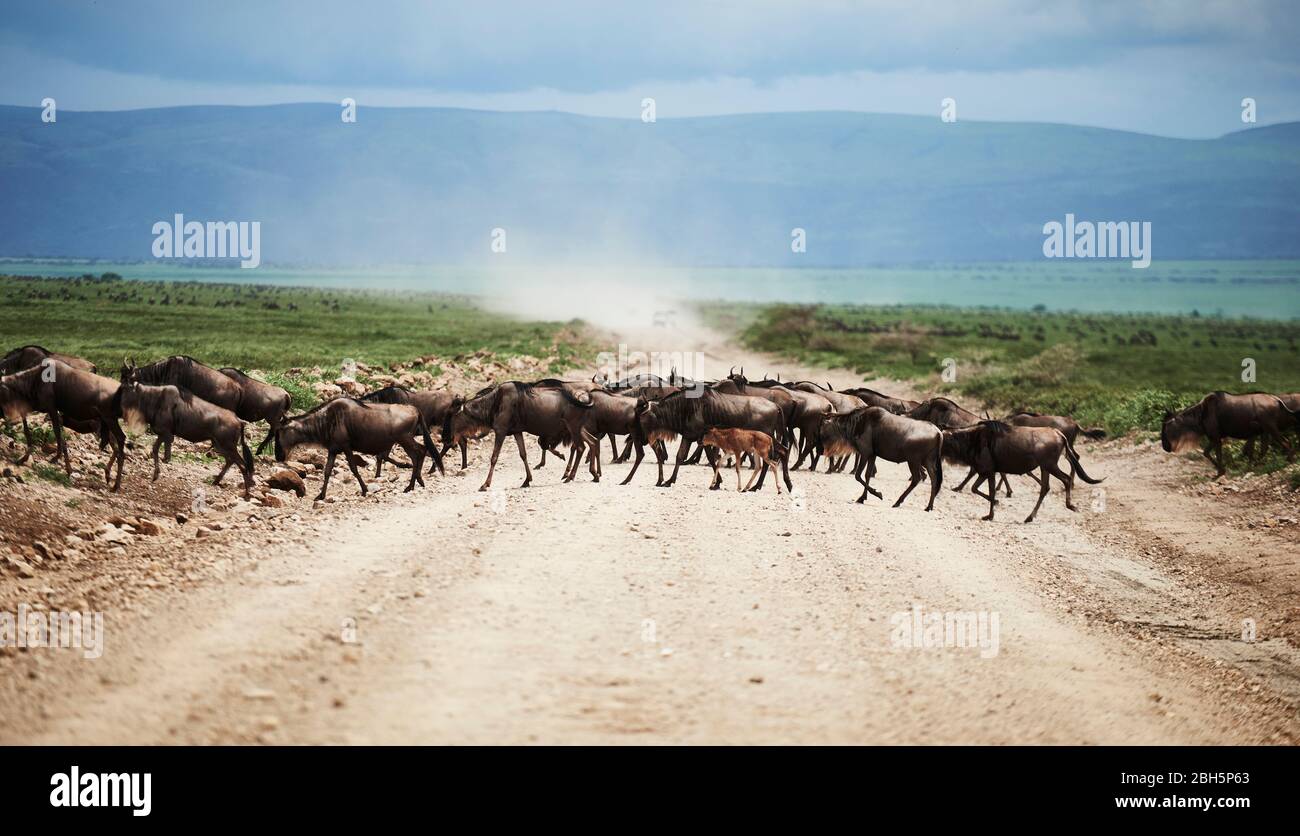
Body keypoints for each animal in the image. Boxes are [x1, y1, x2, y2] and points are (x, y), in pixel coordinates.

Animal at [115, 377, 254, 499]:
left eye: (125, 389)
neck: (154, 399)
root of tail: (239, 421)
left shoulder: (166, 434)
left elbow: (159, 452)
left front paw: (156, 474)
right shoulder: (164, 435)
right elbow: (157, 451)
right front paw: (156, 475)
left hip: (227, 446)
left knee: (243, 465)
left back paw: (246, 493)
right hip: (219, 445)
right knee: (231, 461)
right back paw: (216, 481)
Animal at [946, 426, 1097, 522]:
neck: (973, 440)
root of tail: (1058, 433)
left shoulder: (988, 471)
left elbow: (989, 491)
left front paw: (990, 514)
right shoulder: (985, 472)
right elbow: (975, 488)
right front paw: (994, 507)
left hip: (1050, 465)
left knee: (1065, 479)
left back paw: (1070, 506)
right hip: (1045, 468)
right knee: (1045, 488)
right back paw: (1030, 517)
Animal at [1164, 392, 1294, 478]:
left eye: (1166, 426)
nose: (1165, 447)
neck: (1199, 417)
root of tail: (1277, 400)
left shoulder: (1216, 437)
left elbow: (1216, 454)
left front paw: (1220, 472)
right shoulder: (1216, 438)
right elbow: (1207, 453)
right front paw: (1222, 471)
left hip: (1270, 428)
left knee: (1286, 442)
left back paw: (1289, 463)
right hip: (1265, 431)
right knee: (1264, 449)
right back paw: (1254, 466)